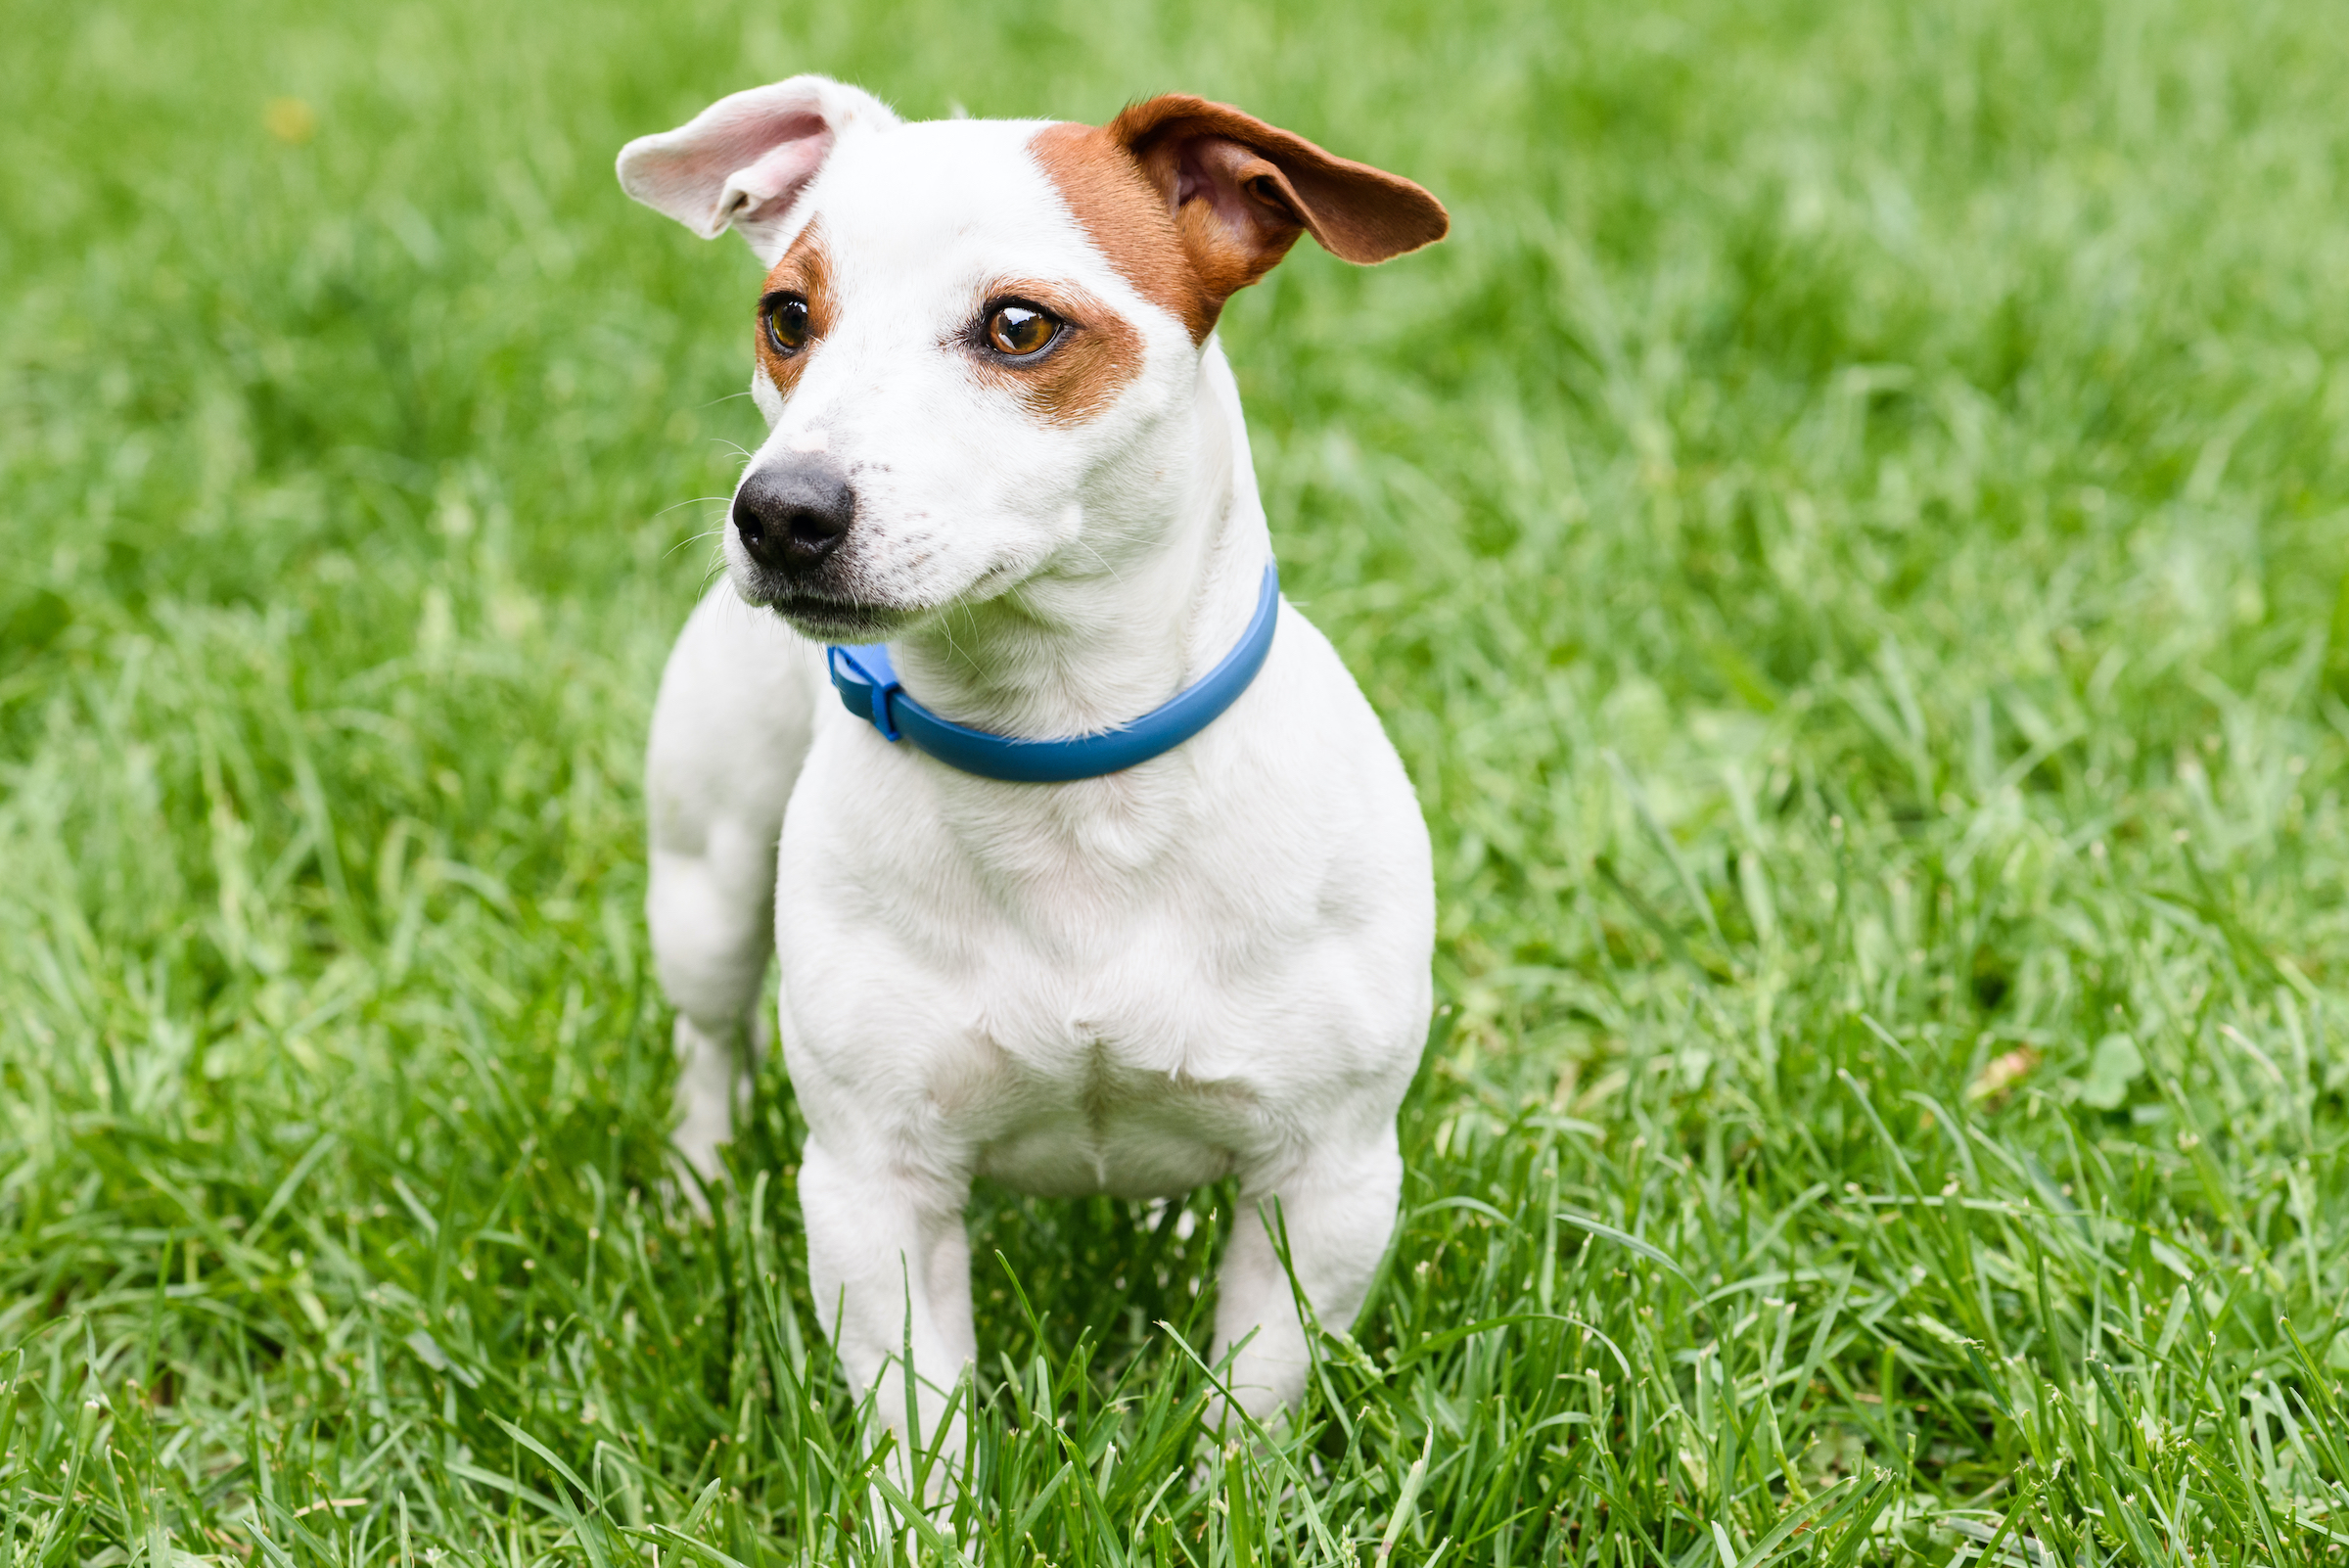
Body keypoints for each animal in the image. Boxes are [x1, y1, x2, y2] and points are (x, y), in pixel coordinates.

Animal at [615, 79, 1437, 1464]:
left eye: (1018, 326)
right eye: (789, 316)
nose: (778, 509)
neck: (1062, 756)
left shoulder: (1326, 1183)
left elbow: (1251, 1405)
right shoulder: (874, 1190)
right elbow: (918, 1420)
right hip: (707, 885)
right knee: (707, 1040)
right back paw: (693, 1185)